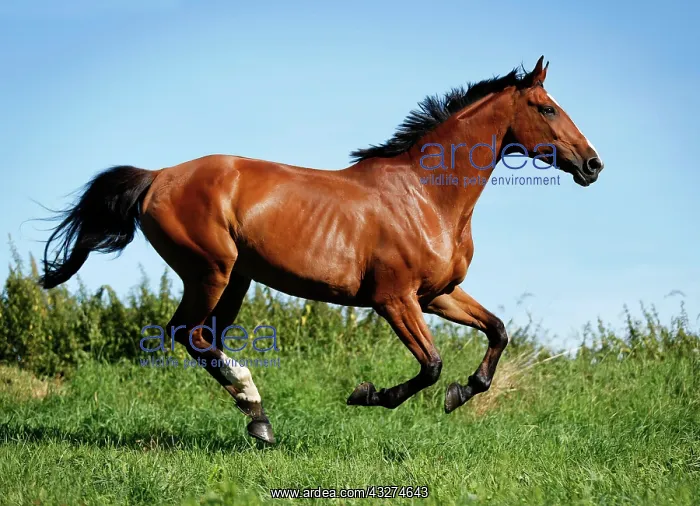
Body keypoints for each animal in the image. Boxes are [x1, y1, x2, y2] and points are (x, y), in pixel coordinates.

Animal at [38, 56, 604, 444]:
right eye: (548, 108)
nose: (593, 164)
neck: (426, 195)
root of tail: (158, 176)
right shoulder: (394, 300)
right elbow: (432, 365)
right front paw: (370, 395)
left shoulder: (438, 295)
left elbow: (498, 331)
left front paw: (464, 392)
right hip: (210, 271)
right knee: (186, 333)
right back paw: (256, 408)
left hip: (236, 278)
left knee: (205, 339)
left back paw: (258, 419)